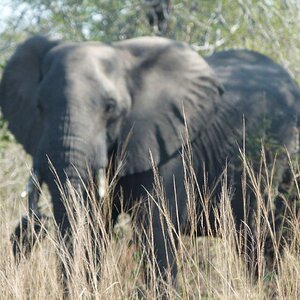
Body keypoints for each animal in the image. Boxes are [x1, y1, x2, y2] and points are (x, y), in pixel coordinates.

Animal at [0, 35, 300, 288]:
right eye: (39, 107)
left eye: (110, 107)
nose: (33, 222)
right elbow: (94, 225)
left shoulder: (171, 147)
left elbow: (156, 229)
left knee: (267, 241)